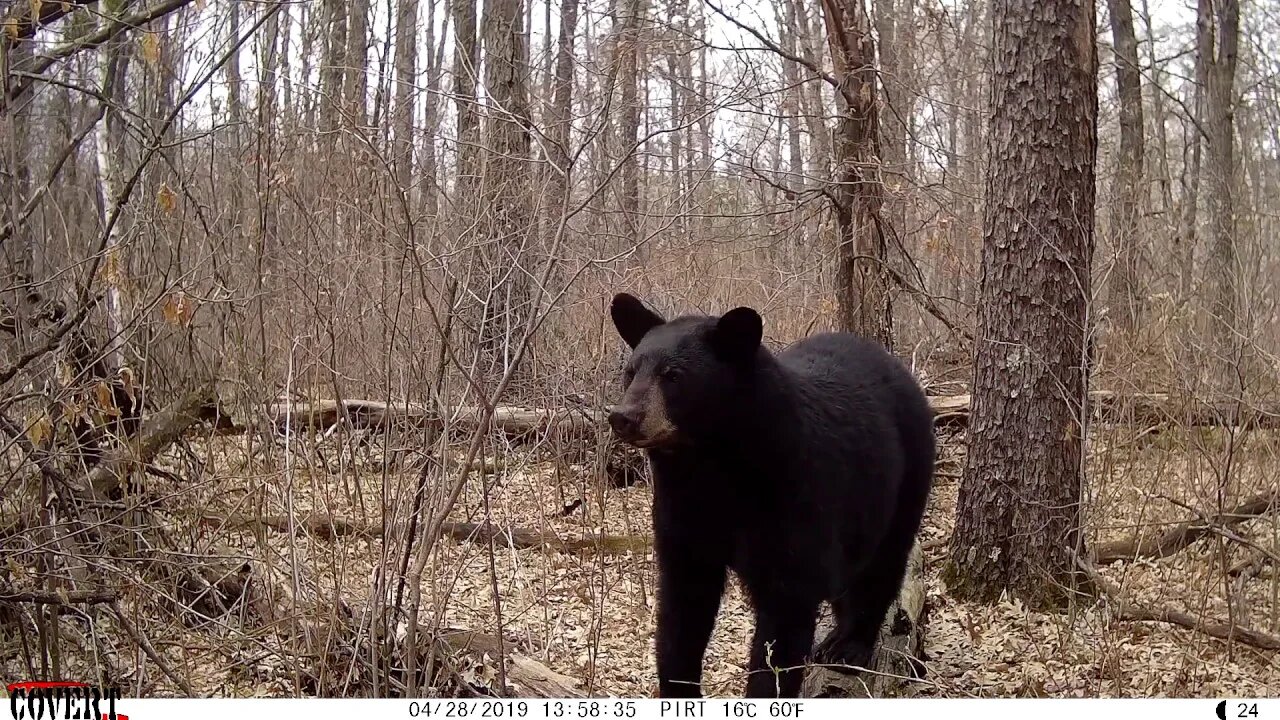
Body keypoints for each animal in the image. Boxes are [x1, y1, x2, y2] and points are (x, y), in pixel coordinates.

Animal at [604, 292, 936, 696]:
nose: (623, 416)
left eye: (673, 376)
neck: (713, 464)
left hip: (903, 476)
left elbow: (785, 615)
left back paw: (850, 646)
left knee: (883, 562)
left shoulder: (795, 497)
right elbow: (682, 608)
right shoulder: (682, 510)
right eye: (631, 371)